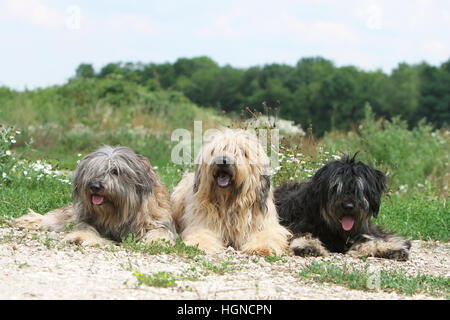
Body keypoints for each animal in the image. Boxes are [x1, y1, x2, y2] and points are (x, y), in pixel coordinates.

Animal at [14, 146, 176, 246]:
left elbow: (161, 231)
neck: (118, 213)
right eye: (93, 170)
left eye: (115, 171)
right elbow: (85, 227)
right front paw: (80, 237)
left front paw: (155, 241)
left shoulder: (158, 219)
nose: (95, 186)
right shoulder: (87, 218)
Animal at [274, 154, 412, 262]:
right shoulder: (295, 225)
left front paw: (390, 249)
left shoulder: (362, 231)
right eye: (336, 187)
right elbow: (301, 234)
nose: (348, 206)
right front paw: (307, 245)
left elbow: (371, 239)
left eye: (359, 188)